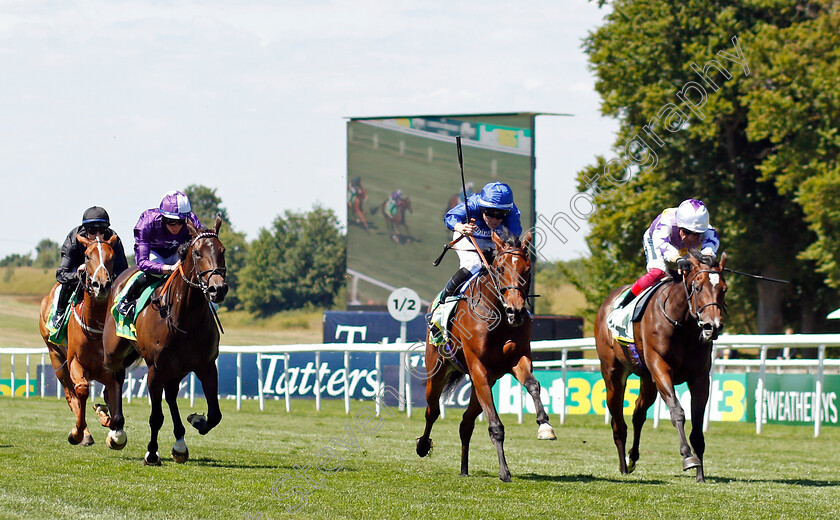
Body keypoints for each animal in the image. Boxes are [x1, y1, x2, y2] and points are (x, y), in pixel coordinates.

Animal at [39, 234, 120, 444]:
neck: (96, 326)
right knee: (70, 394)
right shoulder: (75, 361)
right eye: (87, 256)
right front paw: (78, 432)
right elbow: (82, 390)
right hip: (56, 357)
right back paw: (84, 433)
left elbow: (112, 397)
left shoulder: (110, 368)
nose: (101, 285)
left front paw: (106, 417)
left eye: (112, 256)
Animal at [103, 213, 228, 466]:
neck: (185, 318)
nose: (217, 289)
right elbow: (156, 417)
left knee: (170, 395)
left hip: (177, 369)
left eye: (223, 250)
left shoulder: (207, 366)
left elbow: (215, 415)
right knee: (115, 378)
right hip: (114, 352)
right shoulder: (155, 369)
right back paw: (116, 430)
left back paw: (180, 444)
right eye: (197, 252)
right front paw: (151, 453)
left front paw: (197, 421)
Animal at [416, 232, 556, 484]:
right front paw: (504, 472)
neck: (499, 317)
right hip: (438, 371)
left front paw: (544, 425)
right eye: (499, 268)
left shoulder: (517, 359)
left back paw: (464, 468)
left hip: (484, 382)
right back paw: (422, 446)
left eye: (528, 269)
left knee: (466, 422)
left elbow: (533, 384)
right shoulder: (478, 366)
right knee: (432, 411)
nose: (515, 311)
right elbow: (496, 426)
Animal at [592, 250, 724, 482]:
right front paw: (688, 457)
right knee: (618, 421)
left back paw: (631, 458)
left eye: (723, 289)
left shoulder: (699, 378)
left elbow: (697, 425)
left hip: (648, 381)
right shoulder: (661, 369)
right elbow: (677, 412)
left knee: (638, 414)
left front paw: (700, 475)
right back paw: (623, 466)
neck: (683, 325)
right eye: (698, 287)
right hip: (613, 374)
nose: (712, 326)